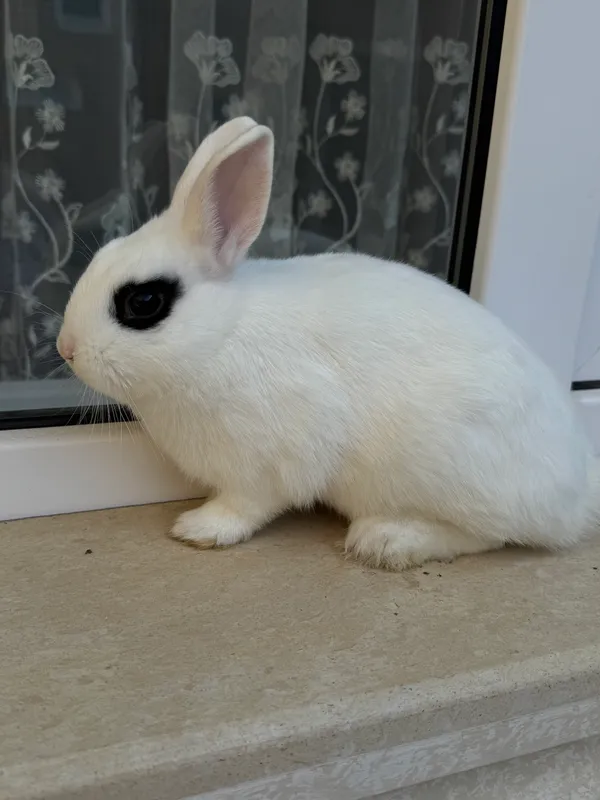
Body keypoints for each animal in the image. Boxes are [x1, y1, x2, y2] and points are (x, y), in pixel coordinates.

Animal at [57, 116, 599, 570]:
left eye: (143, 302)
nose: (66, 348)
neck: (220, 336)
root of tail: (579, 487)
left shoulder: (269, 460)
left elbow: (247, 504)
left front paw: (199, 529)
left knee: (489, 535)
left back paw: (386, 540)